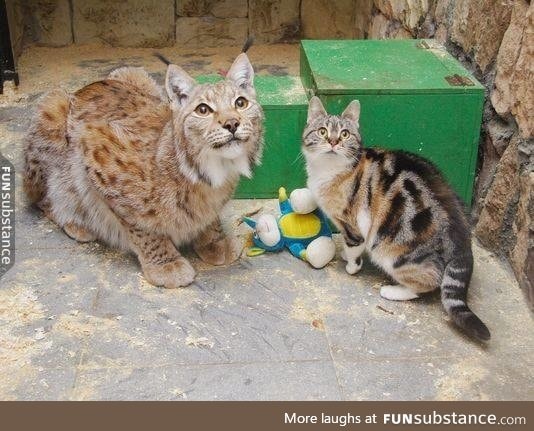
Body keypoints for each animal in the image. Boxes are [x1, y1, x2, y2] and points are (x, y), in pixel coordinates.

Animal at [24, 53, 264, 290]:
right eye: (203, 110)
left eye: (241, 103)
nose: (232, 123)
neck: (207, 170)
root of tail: (84, 88)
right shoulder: (94, 144)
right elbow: (140, 224)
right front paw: (166, 263)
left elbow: (209, 216)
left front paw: (215, 241)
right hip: (52, 108)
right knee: (38, 199)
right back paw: (75, 222)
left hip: (134, 73)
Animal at [304, 96, 492, 342]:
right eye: (323, 131)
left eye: (344, 134)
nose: (334, 141)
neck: (329, 171)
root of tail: (463, 240)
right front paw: (345, 255)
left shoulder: (352, 224)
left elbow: (354, 247)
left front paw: (352, 266)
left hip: (393, 254)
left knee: (430, 280)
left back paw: (392, 291)